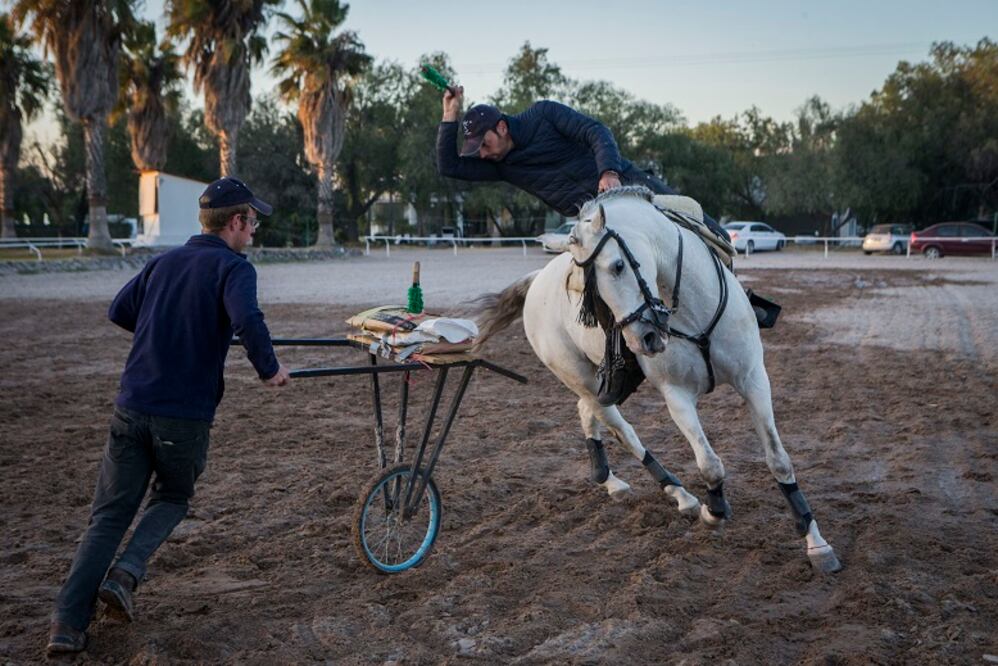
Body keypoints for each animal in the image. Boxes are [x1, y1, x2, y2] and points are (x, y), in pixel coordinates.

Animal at [474, 186, 841, 573]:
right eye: (590, 292)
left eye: (618, 266)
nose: (645, 339)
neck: (692, 311)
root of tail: (536, 281)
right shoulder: (676, 395)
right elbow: (710, 464)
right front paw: (713, 512)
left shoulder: (754, 379)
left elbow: (778, 458)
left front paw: (816, 543)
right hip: (579, 377)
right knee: (621, 429)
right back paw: (678, 494)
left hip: (600, 384)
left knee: (587, 412)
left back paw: (611, 481)